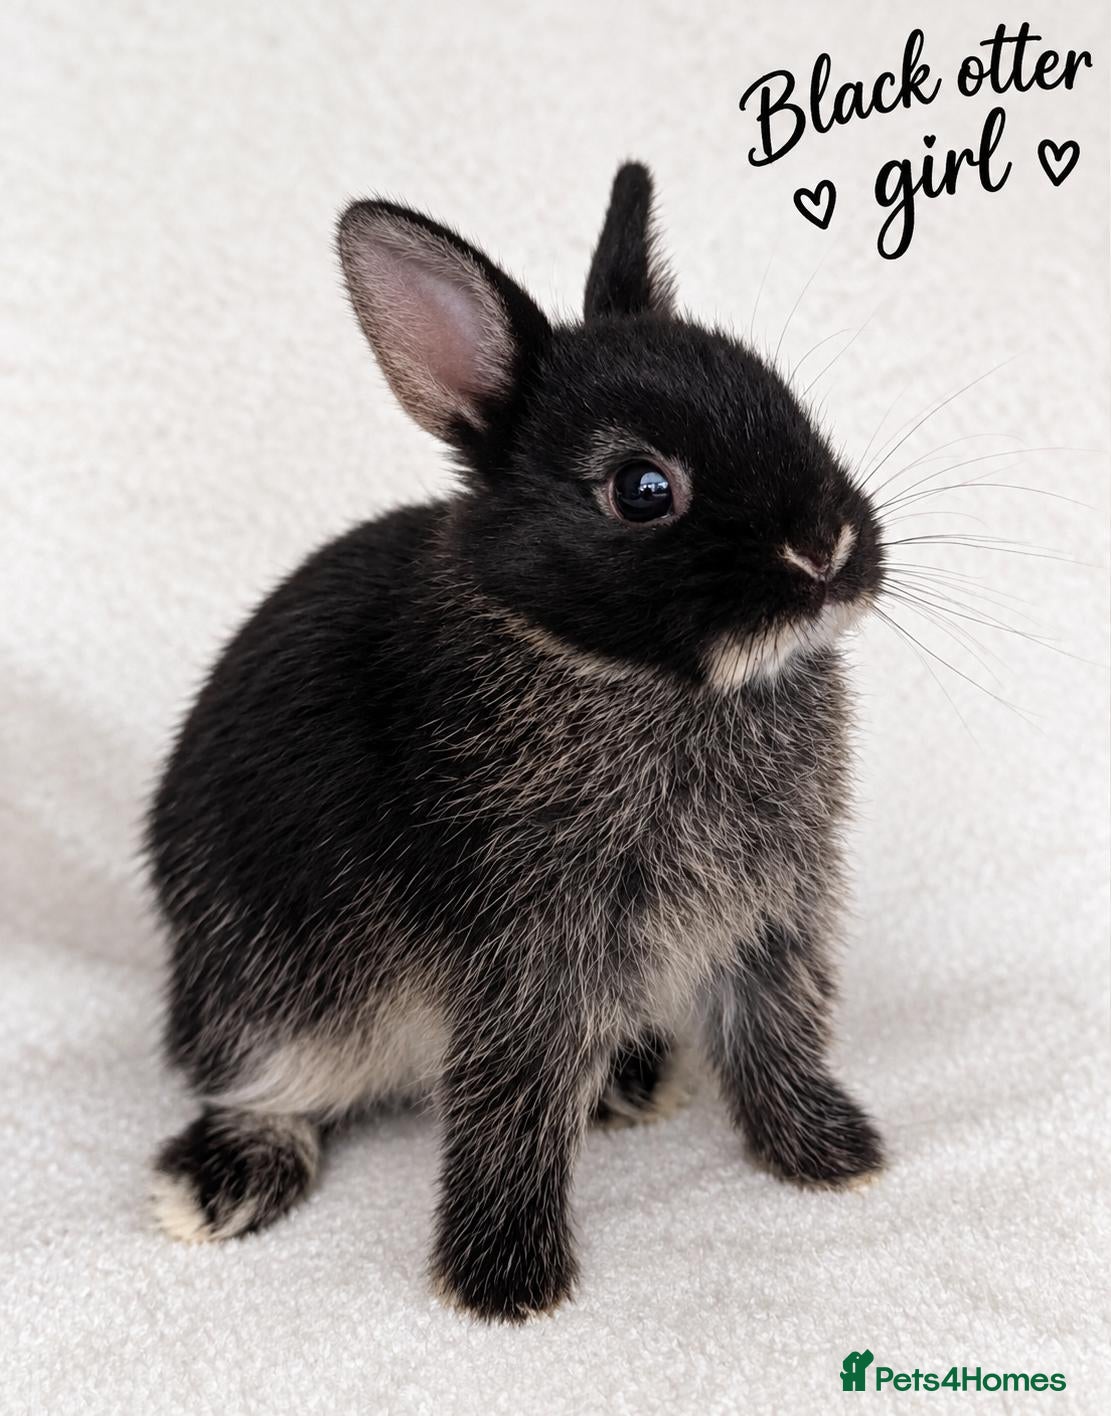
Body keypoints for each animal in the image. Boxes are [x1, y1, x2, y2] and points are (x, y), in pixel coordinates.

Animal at [146, 161, 886, 1321]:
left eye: (784, 401)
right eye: (641, 489)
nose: (827, 545)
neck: (637, 674)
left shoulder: (770, 917)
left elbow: (774, 1030)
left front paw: (829, 1159)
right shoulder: (525, 953)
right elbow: (512, 1103)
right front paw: (506, 1283)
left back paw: (632, 1081)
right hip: (268, 985)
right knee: (258, 1083)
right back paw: (220, 1184)